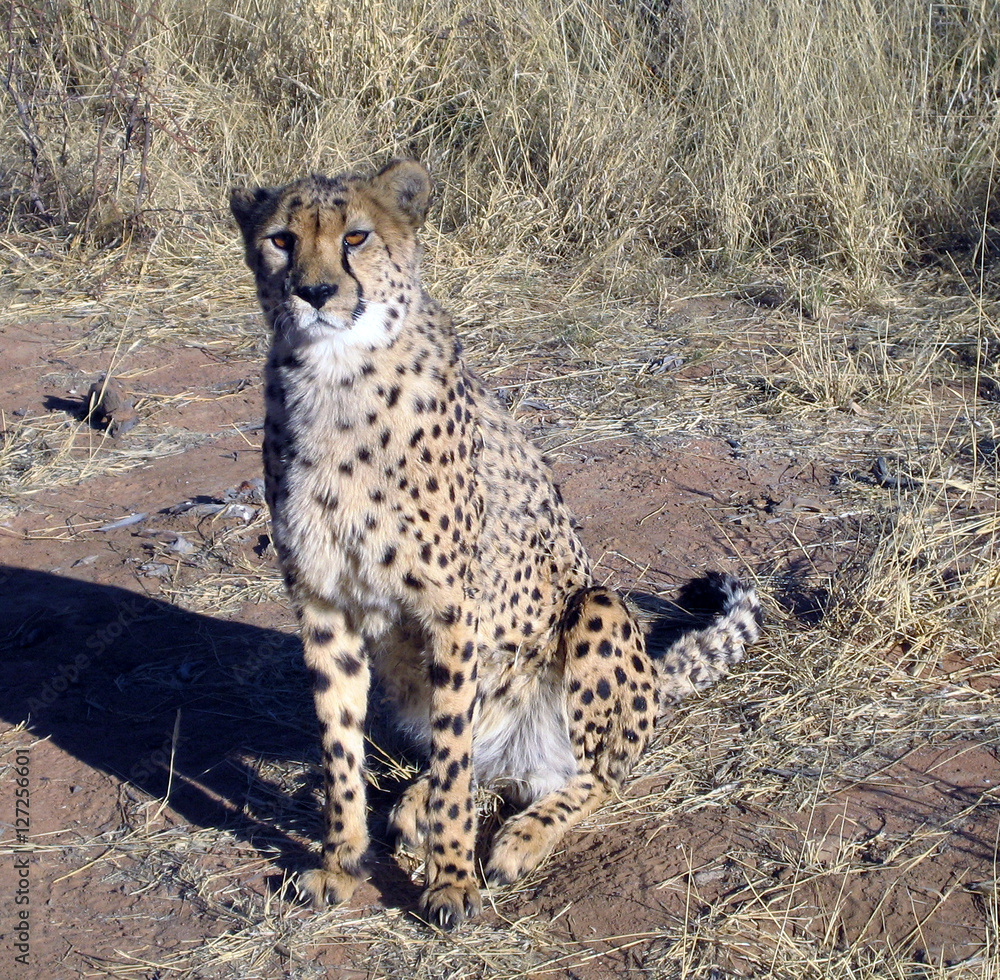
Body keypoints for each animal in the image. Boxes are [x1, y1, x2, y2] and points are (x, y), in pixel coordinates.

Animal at [229, 159, 761, 930]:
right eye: (281, 239)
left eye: (356, 236)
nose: (316, 292)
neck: (334, 376)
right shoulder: (323, 604)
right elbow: (339, 750)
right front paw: (340, 862)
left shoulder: (454, 610)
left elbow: (455, 764)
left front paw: (451, 881)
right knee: (487, 766)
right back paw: (414, 805)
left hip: (597, 611)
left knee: (594, 775)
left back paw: (519, 837)